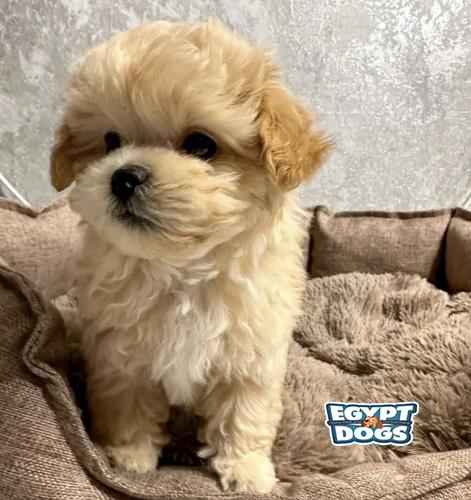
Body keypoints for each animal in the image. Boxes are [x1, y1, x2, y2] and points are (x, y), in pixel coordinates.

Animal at [50, 18, 329, 493]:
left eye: (201, 145)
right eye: (111, 140)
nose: (124, 176)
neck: (184, 270)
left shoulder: (252, 356)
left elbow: (244, 413)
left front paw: (247, 470)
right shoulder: (120, 356)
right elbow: (127, 405)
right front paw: (129, 458)